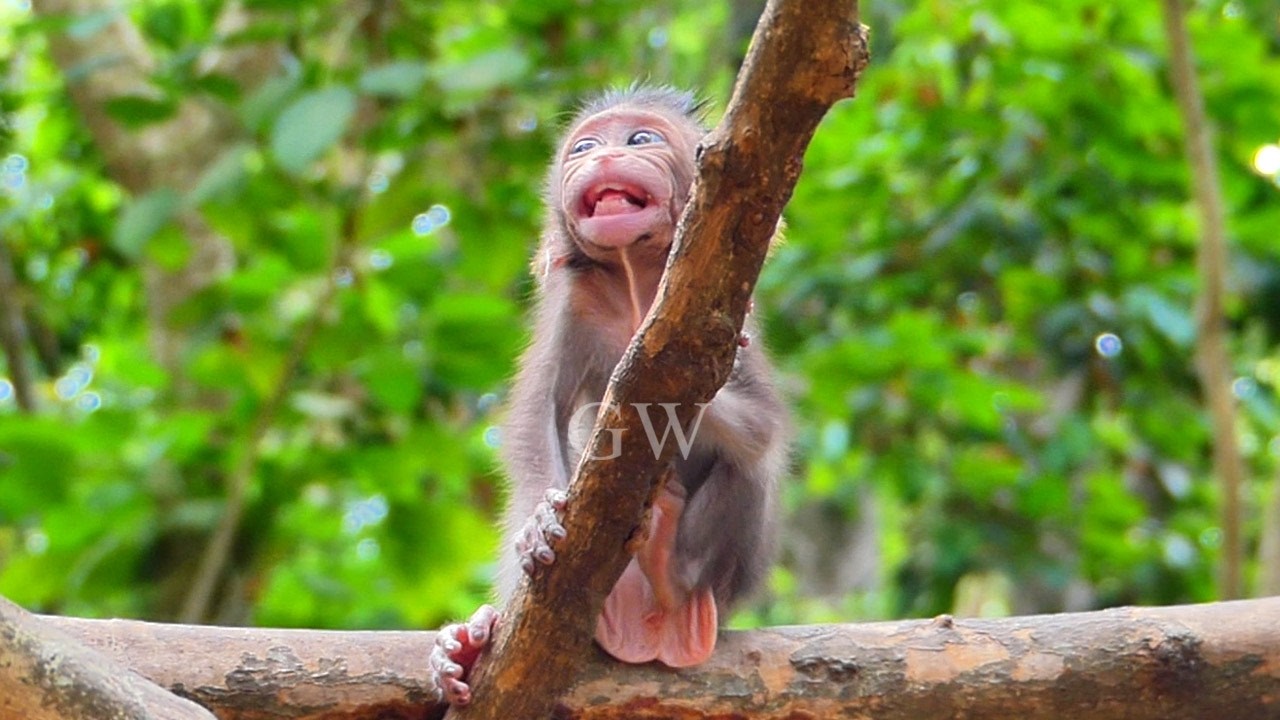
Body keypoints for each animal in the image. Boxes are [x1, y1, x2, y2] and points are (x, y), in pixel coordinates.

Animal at [428, 86, 789, 706]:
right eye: (584, 147)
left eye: (640, 139)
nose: (603, 157)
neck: (639, 277)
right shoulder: (574, 300)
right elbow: (537, 420)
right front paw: (538, 523)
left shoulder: (737, 309)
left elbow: (762, 425)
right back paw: (466, 647)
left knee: (750, 465)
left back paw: (670, 564)